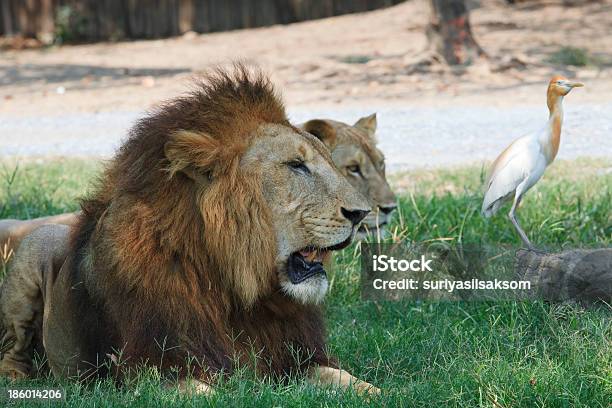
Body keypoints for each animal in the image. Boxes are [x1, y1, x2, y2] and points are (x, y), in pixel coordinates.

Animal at [0, 67, 378, 396]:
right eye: (296, 166)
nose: (361, 213)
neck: (234, 286)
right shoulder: (151, 370)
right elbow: (213, 393)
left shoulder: (295, 357)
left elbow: (350, 380)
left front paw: (375, 391)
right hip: (34, 246)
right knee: (12, 349)